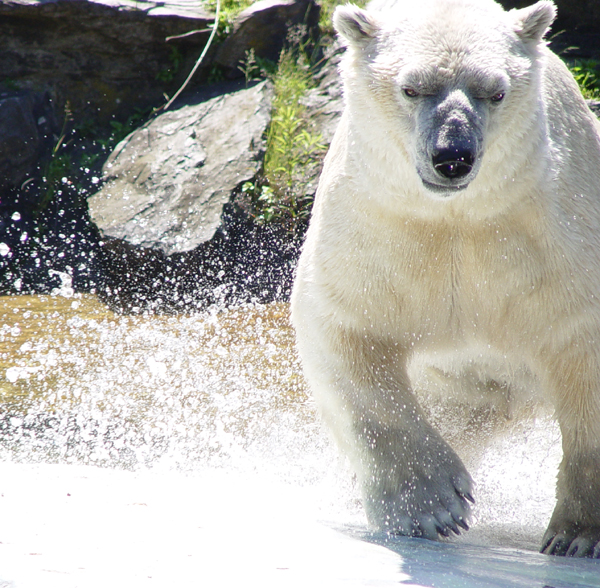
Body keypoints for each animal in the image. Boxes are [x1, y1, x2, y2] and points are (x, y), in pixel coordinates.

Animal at [292, 0, 600, 560]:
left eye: (495, 91)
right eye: (411, 88)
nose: (452, 157)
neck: (458, 216)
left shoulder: (556, 240)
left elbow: (581, 346)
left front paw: (576, 535)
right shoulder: (375, 228)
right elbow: (348, 328)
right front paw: (432, 507)